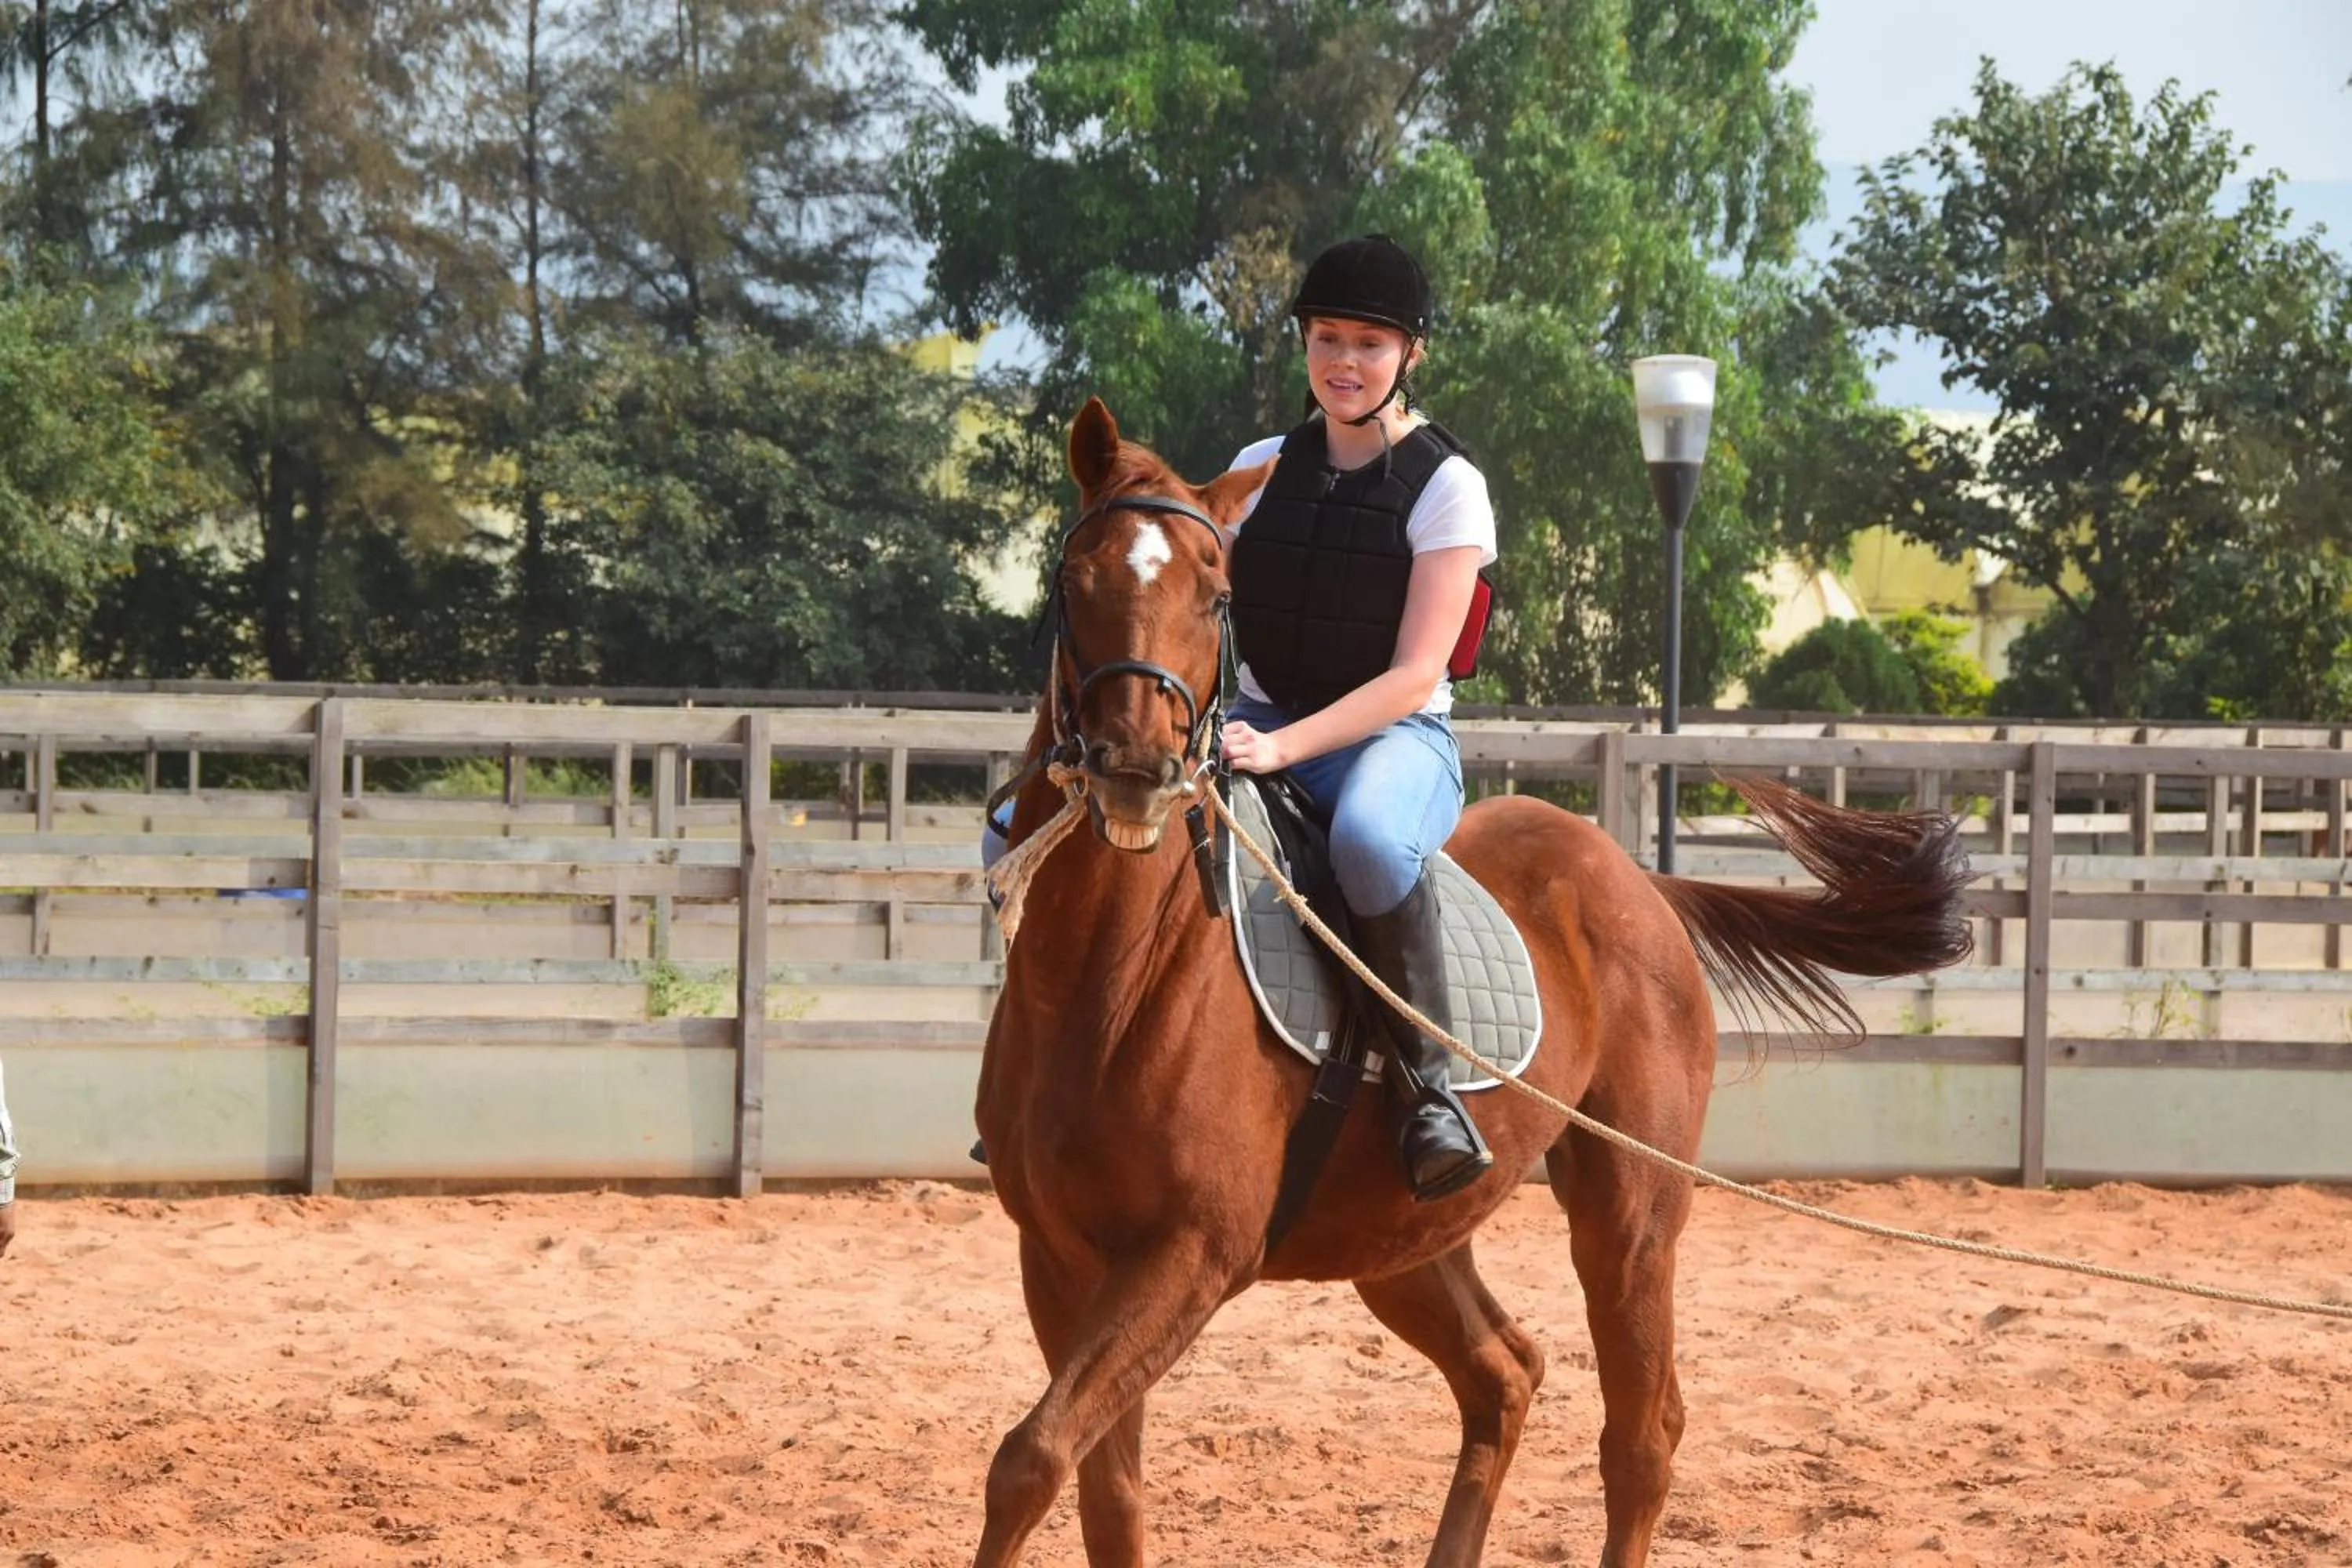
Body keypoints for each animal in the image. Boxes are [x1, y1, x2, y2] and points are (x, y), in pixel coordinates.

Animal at [971, 397, 1974, 1567]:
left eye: (1216, 593)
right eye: (1075, 576)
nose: (1136, 766)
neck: (1114, 979)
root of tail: (1636, 880)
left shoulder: (1190, 1253)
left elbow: (1032, 1456)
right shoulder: (1061, 1258)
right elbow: (1099, 1489)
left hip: (1629, 1212)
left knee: (1642, 1432)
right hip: (1400, 1240)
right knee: (1504, 1374)